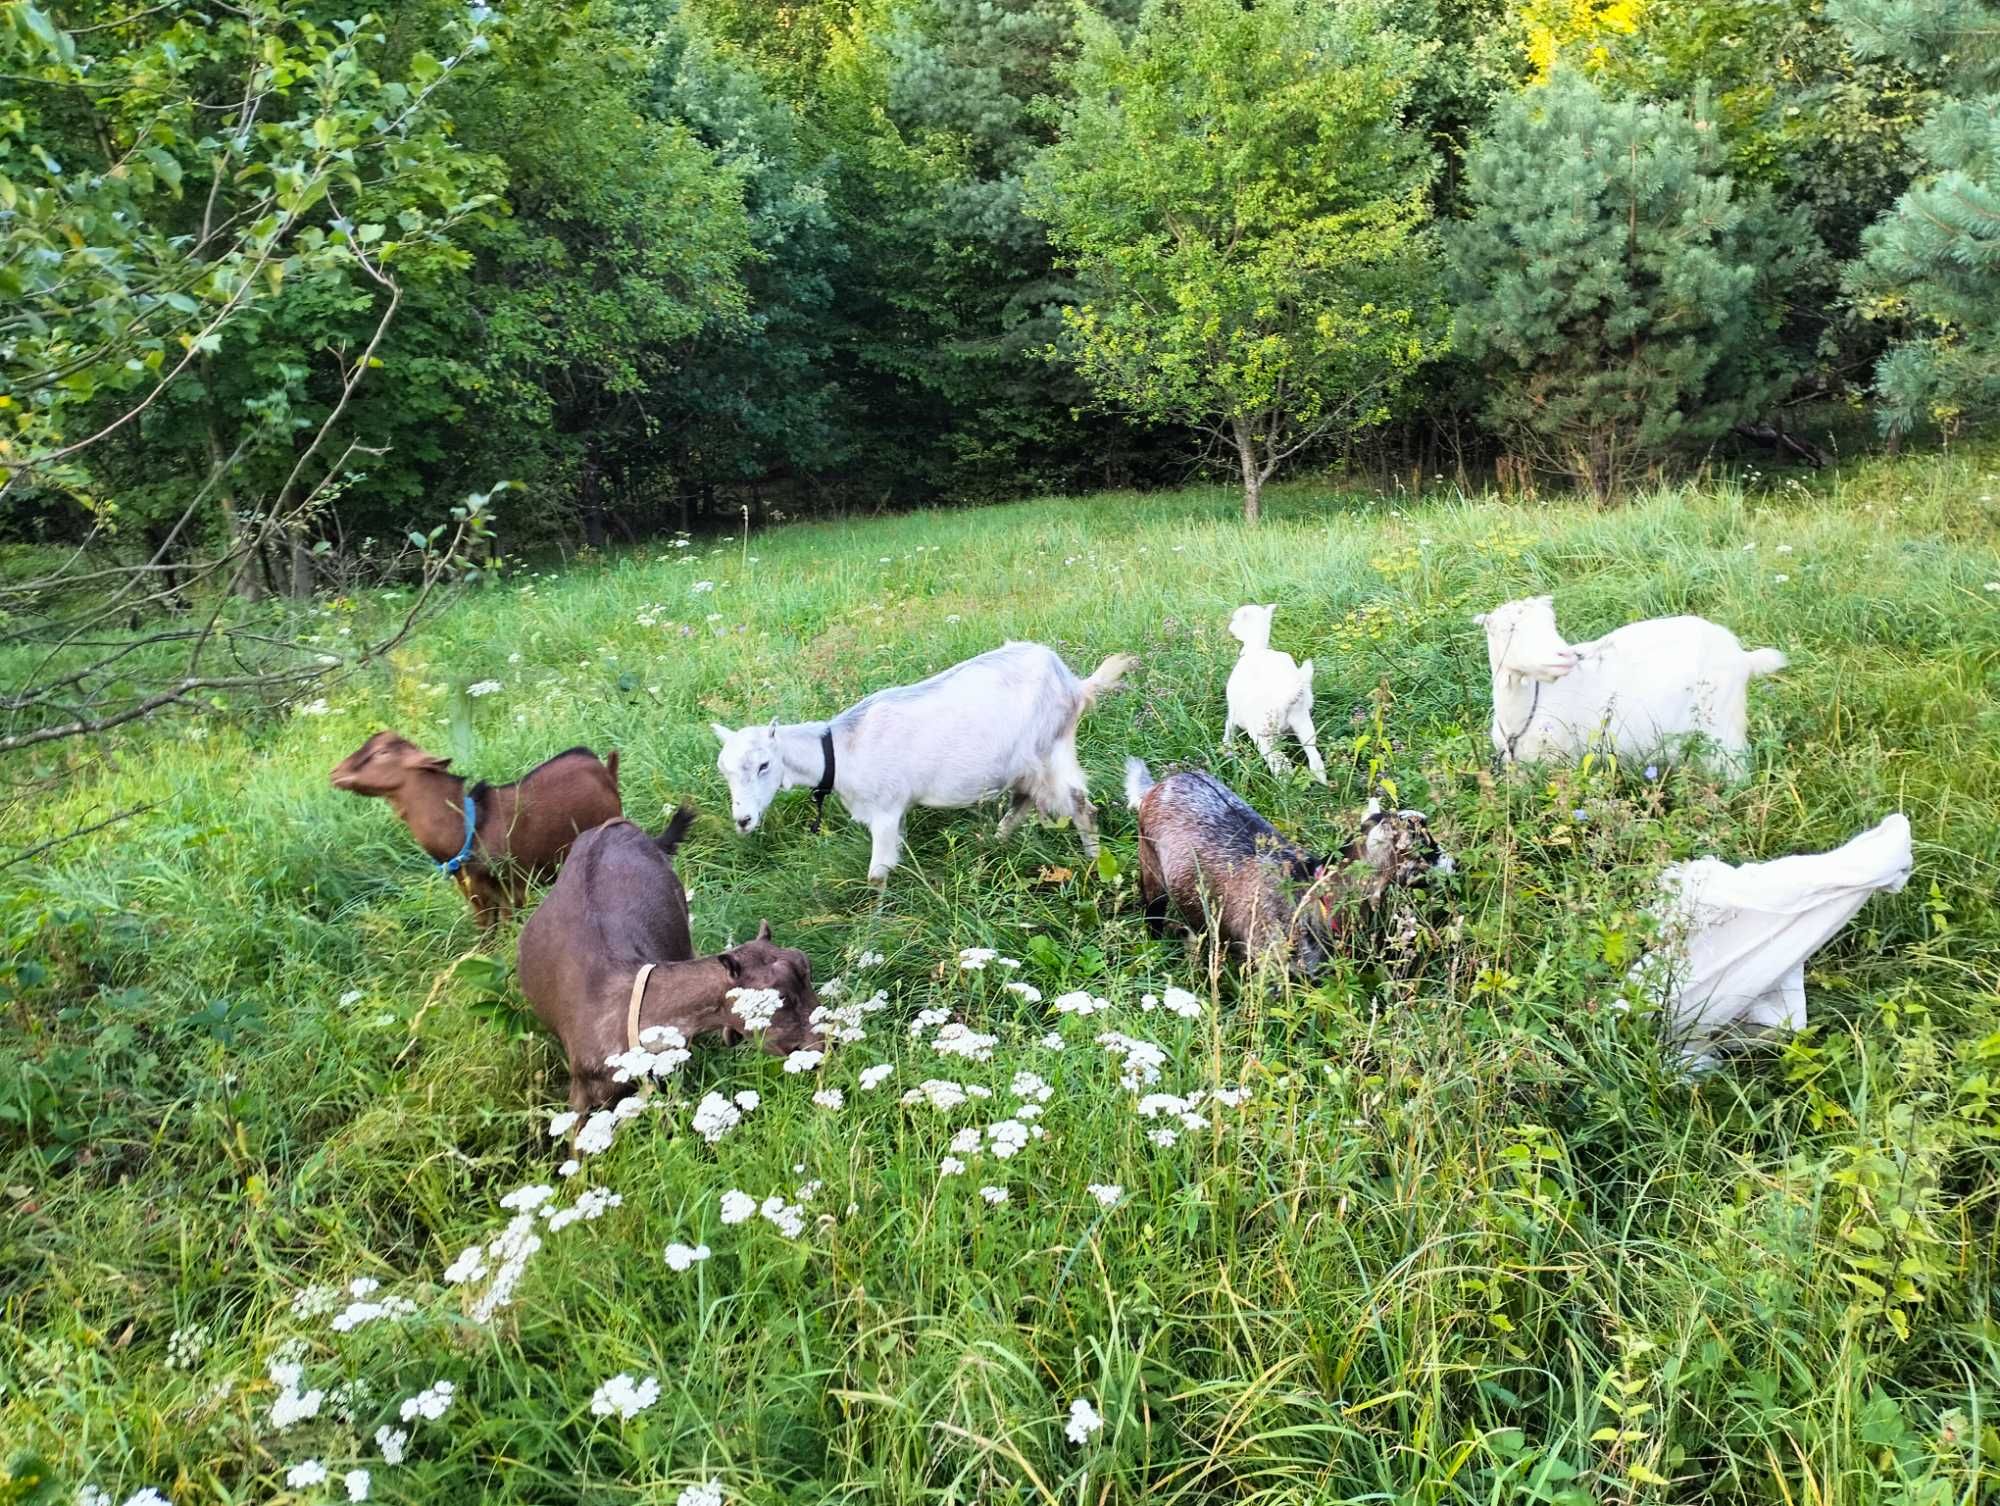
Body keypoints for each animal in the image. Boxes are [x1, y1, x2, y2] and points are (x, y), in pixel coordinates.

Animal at [1216, 604, 1328, 788]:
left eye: (1235, 619)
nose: (1229, 628)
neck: (1256, 647)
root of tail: (1285, 698)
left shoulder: (1233, 713)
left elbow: (1229, 729)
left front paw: (1227, 748)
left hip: (1264, 735)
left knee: (1281, 765)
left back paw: (1283, 790)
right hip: (1302, 722)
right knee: (1314, 758)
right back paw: (1323, 784)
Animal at [1480, 592, 1792, 776]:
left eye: (1552, 624)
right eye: (1509, 630)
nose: (1566, 656)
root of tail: (1743, 657)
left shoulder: (1563, 764)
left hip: (1723, 727)